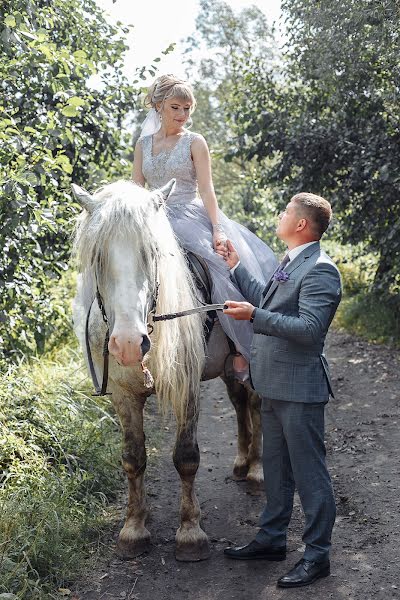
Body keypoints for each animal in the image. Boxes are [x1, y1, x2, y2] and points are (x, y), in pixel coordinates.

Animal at [72, 179, 262, 564]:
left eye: (152, 252)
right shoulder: (123, 394)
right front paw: (133, 530)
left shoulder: (187, 385)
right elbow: (133, 458)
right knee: (239, 402)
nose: (129, 343)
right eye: (98, 257)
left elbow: (186, 457)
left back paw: (257, 470)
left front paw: (190, 533)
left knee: (256, 402)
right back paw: (241, 462)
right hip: (228, 367)